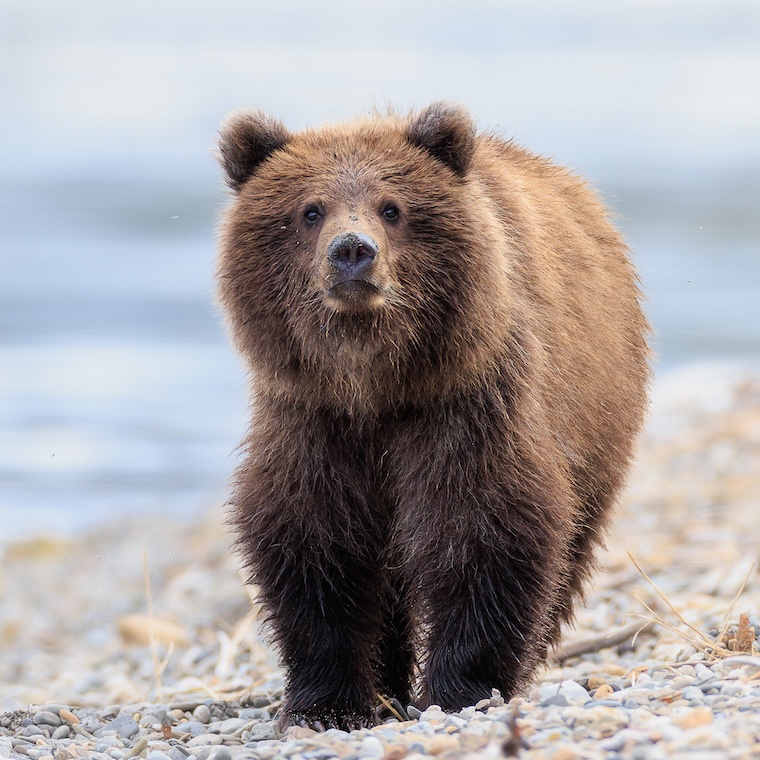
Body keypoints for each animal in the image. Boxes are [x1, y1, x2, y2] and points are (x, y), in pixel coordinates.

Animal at [214, 101, 648, 732]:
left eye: (392, 208)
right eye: (310, 210)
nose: (352, 251)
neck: (376, 384)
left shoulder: (468, 399)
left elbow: (483, 524)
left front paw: (461, 687)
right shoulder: (314, 416)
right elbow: (314, 536)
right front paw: (329, 704)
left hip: (597, 418)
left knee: (571, 540)